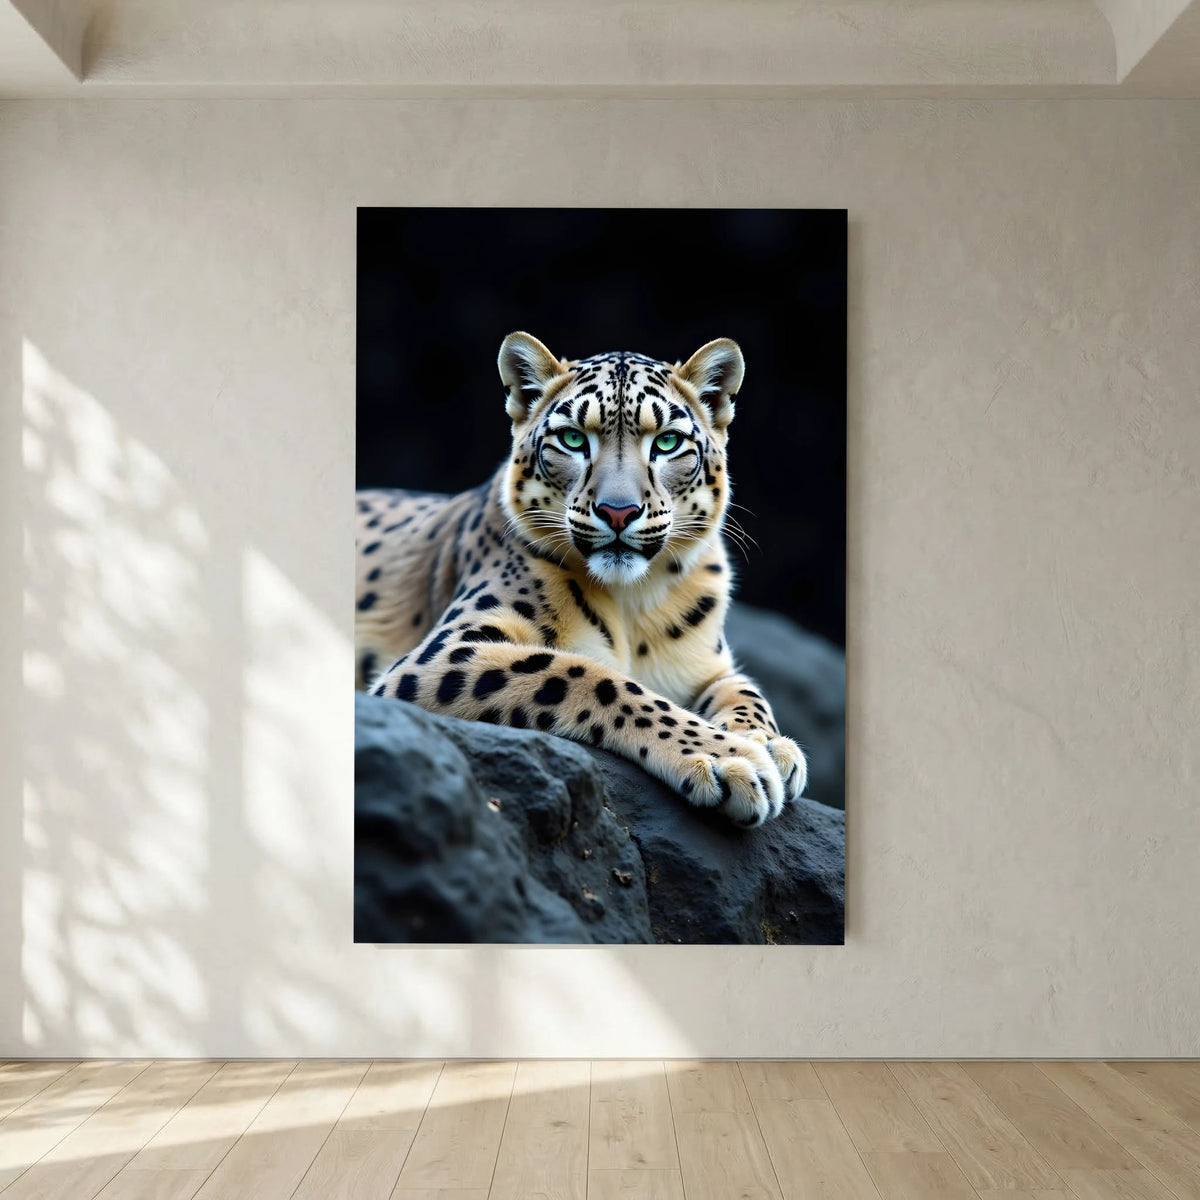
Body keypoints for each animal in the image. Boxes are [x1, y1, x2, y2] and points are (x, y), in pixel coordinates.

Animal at [355, 332, 807, 825]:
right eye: (572, 438)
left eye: (667, 442)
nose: (618, 511)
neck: (634, 604)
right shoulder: (445, 651)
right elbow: (584, 674)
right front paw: (731, 757)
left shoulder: (709, 666)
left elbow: (747, 692)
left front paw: (771, 744)